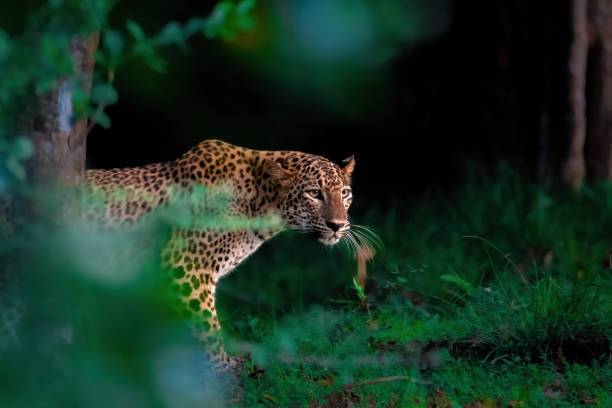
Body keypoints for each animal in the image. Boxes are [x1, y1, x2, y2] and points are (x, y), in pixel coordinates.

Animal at [83, 139, 356, 372]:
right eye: (314, 193)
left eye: (344, 193)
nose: (338, 225)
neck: (262, 203)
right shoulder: (186, 267)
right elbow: (208, 327)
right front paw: (222, 367)